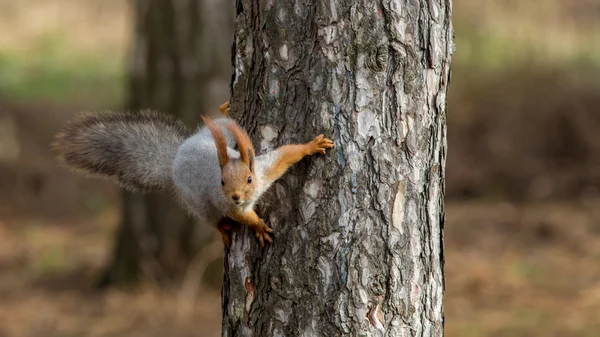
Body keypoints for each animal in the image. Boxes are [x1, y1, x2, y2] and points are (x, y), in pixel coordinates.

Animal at [51, 101, 332, 245]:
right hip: (197, 201)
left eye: (249, 179)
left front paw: (312, 146)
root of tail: (175, 159)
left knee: (224, 121)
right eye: (221, 182)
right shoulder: (226, 203)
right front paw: (259, 226)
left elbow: (287, 155)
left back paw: (225, 109)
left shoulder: (265, 170)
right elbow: (241, 216)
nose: (236, 196)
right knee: (209, 217)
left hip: (220, 131)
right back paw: (221, 228)